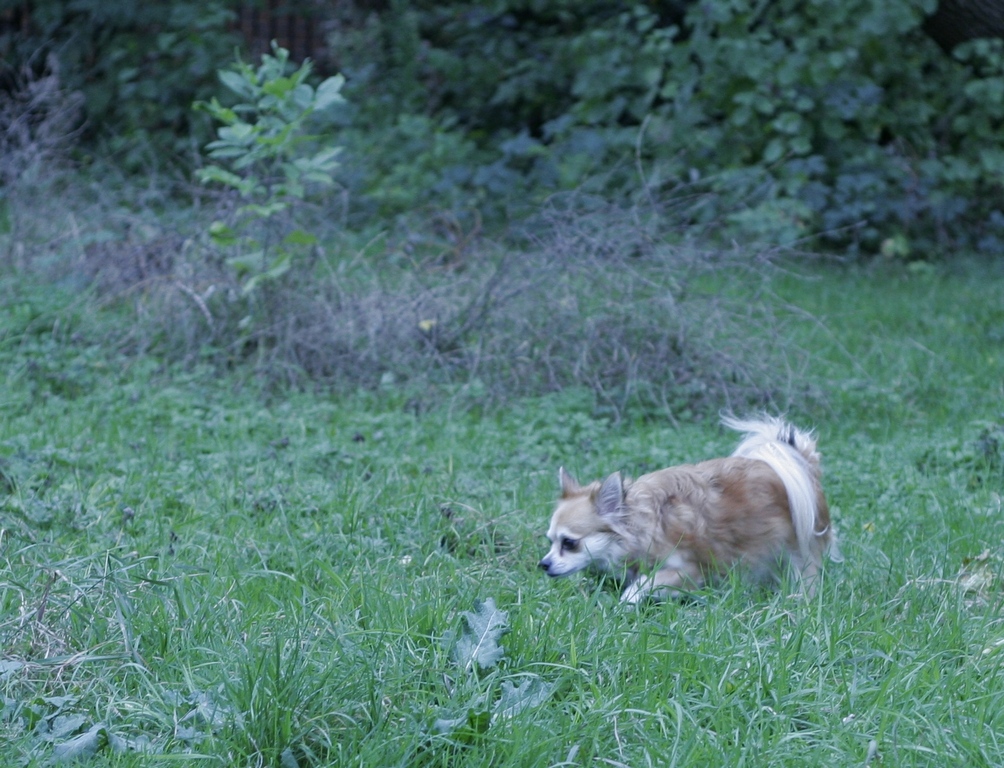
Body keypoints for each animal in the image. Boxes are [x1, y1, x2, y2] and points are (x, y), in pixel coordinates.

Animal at [542, 415, 839, 602]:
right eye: (550, 541)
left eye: (569, 543)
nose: (543, 563)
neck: (646, 519)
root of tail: (801, 460)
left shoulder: (690, 570)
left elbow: (647, 582)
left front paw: (630, 598)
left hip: (799, 552)